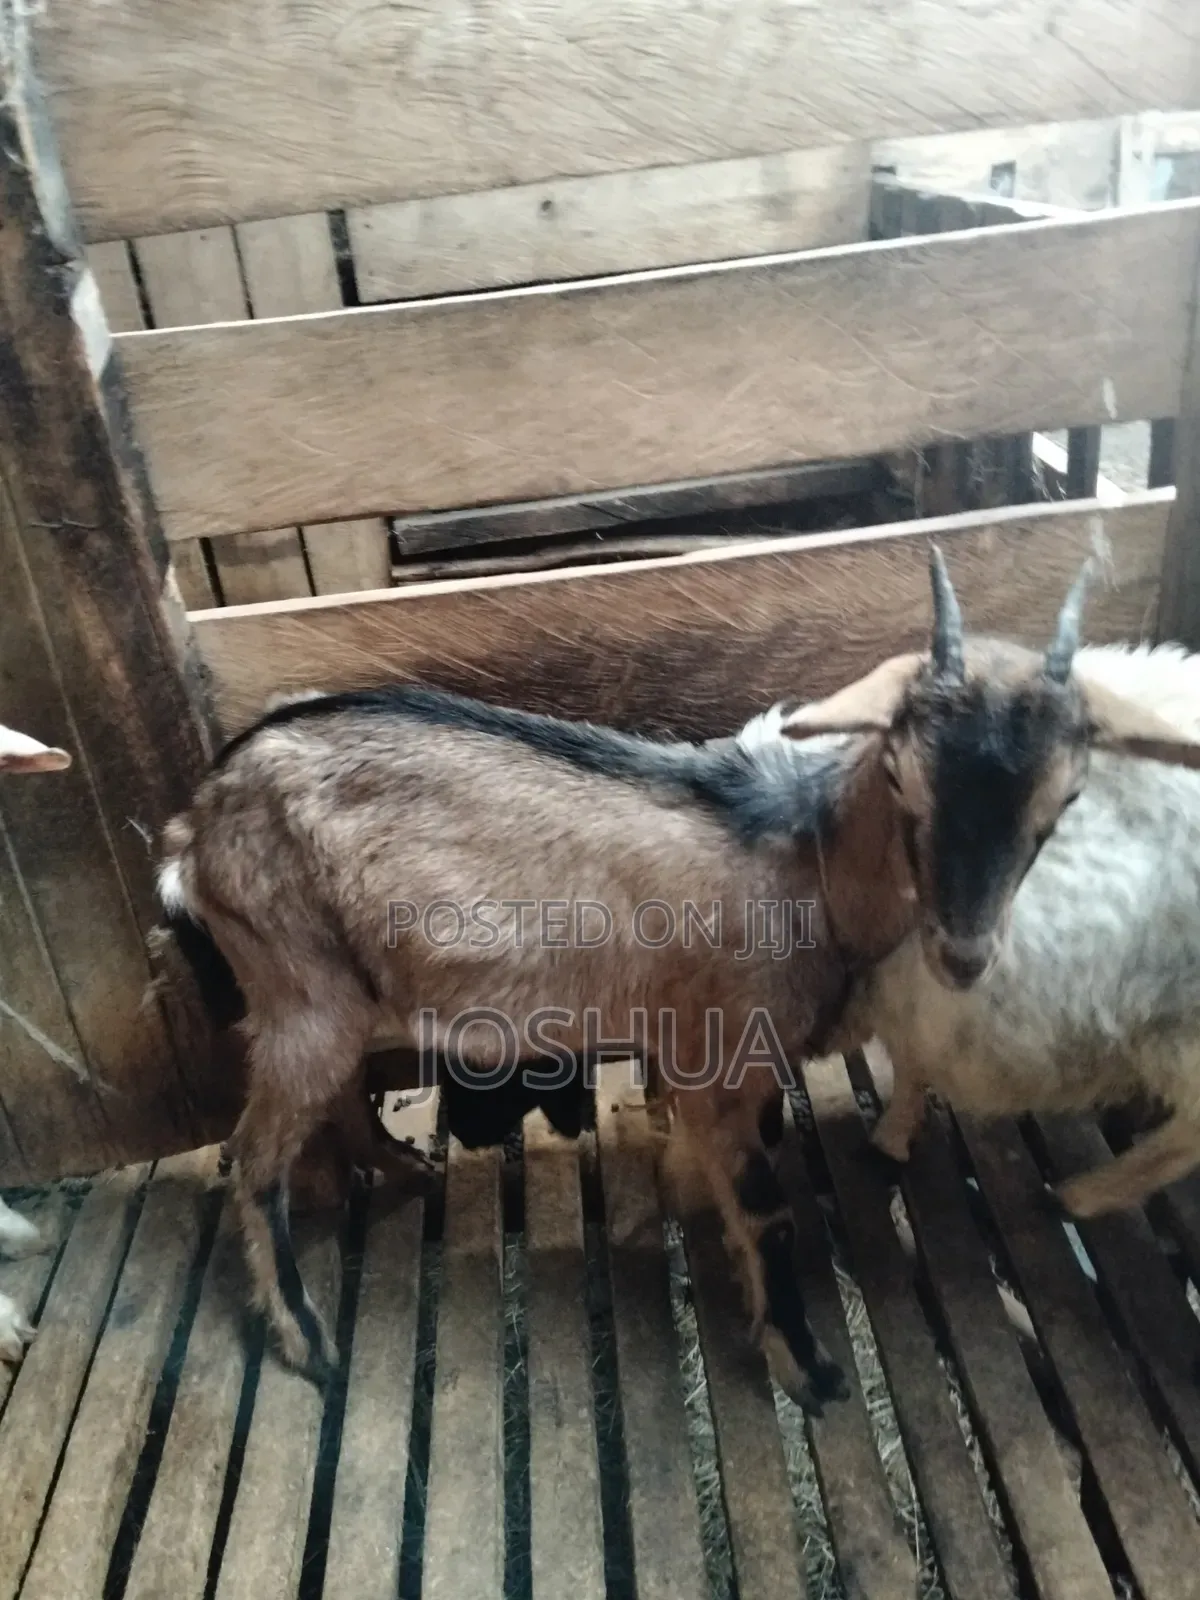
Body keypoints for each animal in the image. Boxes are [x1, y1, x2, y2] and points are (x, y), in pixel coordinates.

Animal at [785, 638, 1200, 1220]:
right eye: (897, 779)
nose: (965, 958)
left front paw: (890, 1137)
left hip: (1178, 1027)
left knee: (1188, 1135)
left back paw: (1081, 1196)